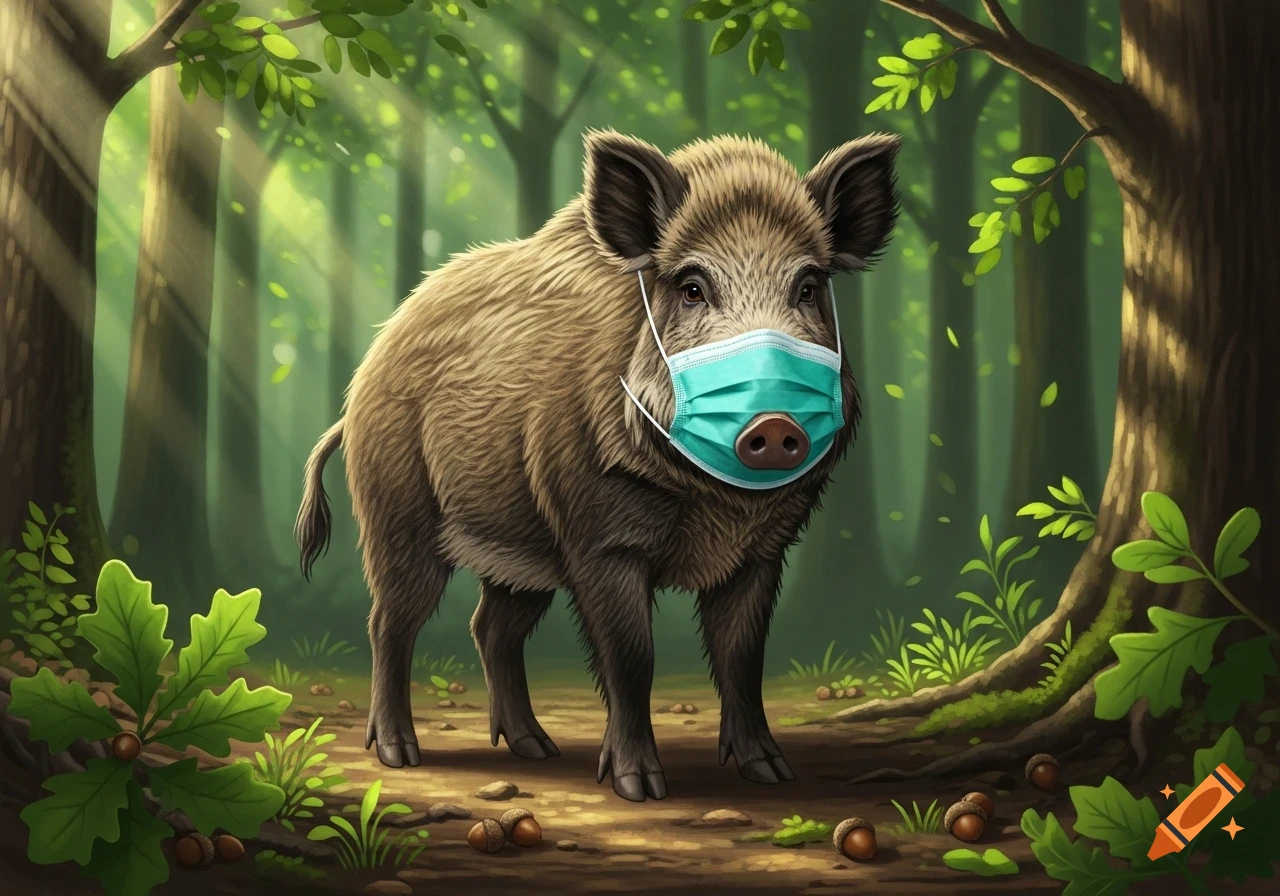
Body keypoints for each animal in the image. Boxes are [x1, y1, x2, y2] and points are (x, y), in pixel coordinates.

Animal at [296, 129, 901, 802]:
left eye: (810, 286)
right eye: (692, 286)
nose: (772, 425)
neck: (713, 501)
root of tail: (356, 393)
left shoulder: (762, 551)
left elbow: (743, 659)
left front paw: (771, 773)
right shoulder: (598, 536)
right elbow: (631, 656)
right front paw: (641, 789)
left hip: (521, 553)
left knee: (490, 627)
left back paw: (536, 749)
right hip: (396, 511)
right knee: (390, 622)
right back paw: (400, 756)